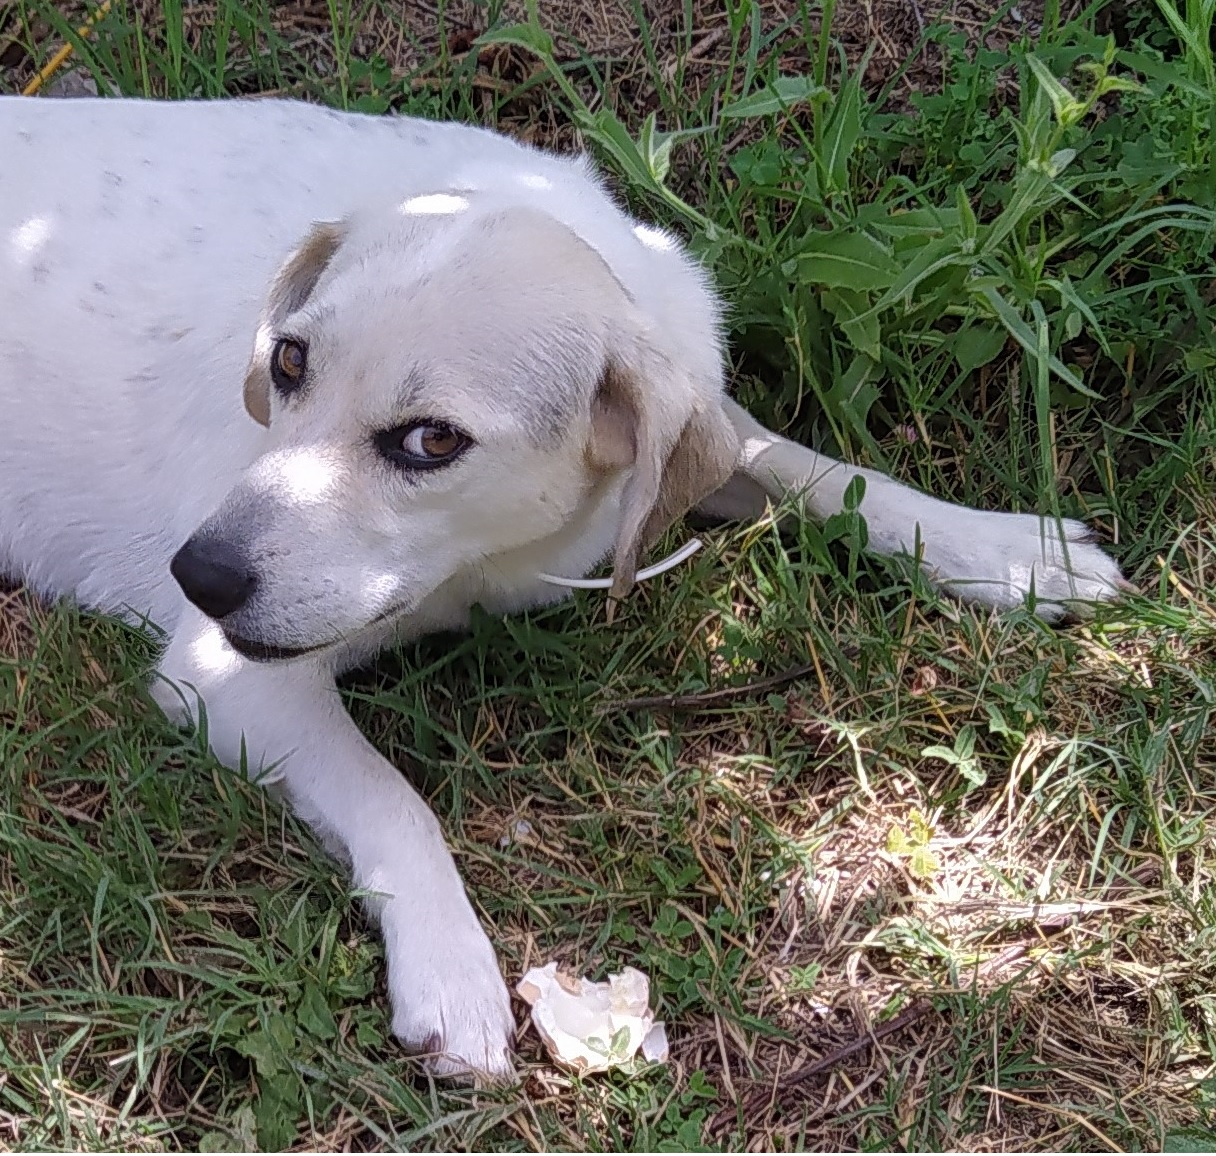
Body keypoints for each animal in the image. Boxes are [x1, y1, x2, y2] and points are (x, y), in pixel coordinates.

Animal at [0, 95, 1126, 1078]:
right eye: (287, 362)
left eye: (431, 441)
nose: (198, 574)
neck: (487, 561)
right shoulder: (228, 675)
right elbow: (393, 797)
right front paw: (452, 970)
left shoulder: (698, 430)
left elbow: (823, 471)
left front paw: (1008, 550)